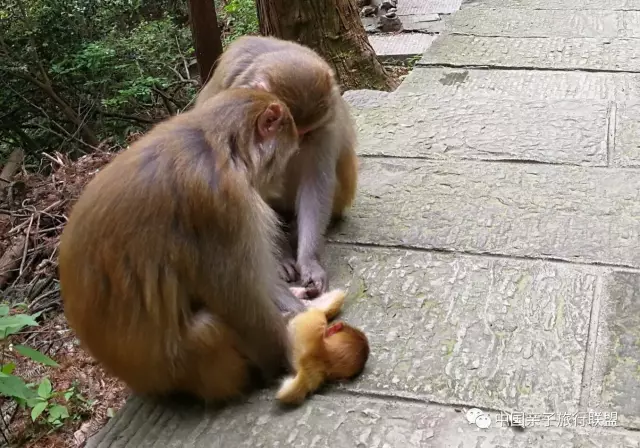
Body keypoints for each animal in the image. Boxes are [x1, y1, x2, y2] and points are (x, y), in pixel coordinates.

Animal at [58, 86, 344, 400]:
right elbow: (239, 299)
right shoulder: (221, 205)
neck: (217, 146)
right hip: (188, 368)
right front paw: (287, 349)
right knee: (209, 327)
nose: (281, 180)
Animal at [194, 35, 360, 294]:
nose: (295, 145)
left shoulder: (326, 123)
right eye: (279, 125)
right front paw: (280, 258)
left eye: (306, 133)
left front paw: (309, 262)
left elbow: (315, 184)